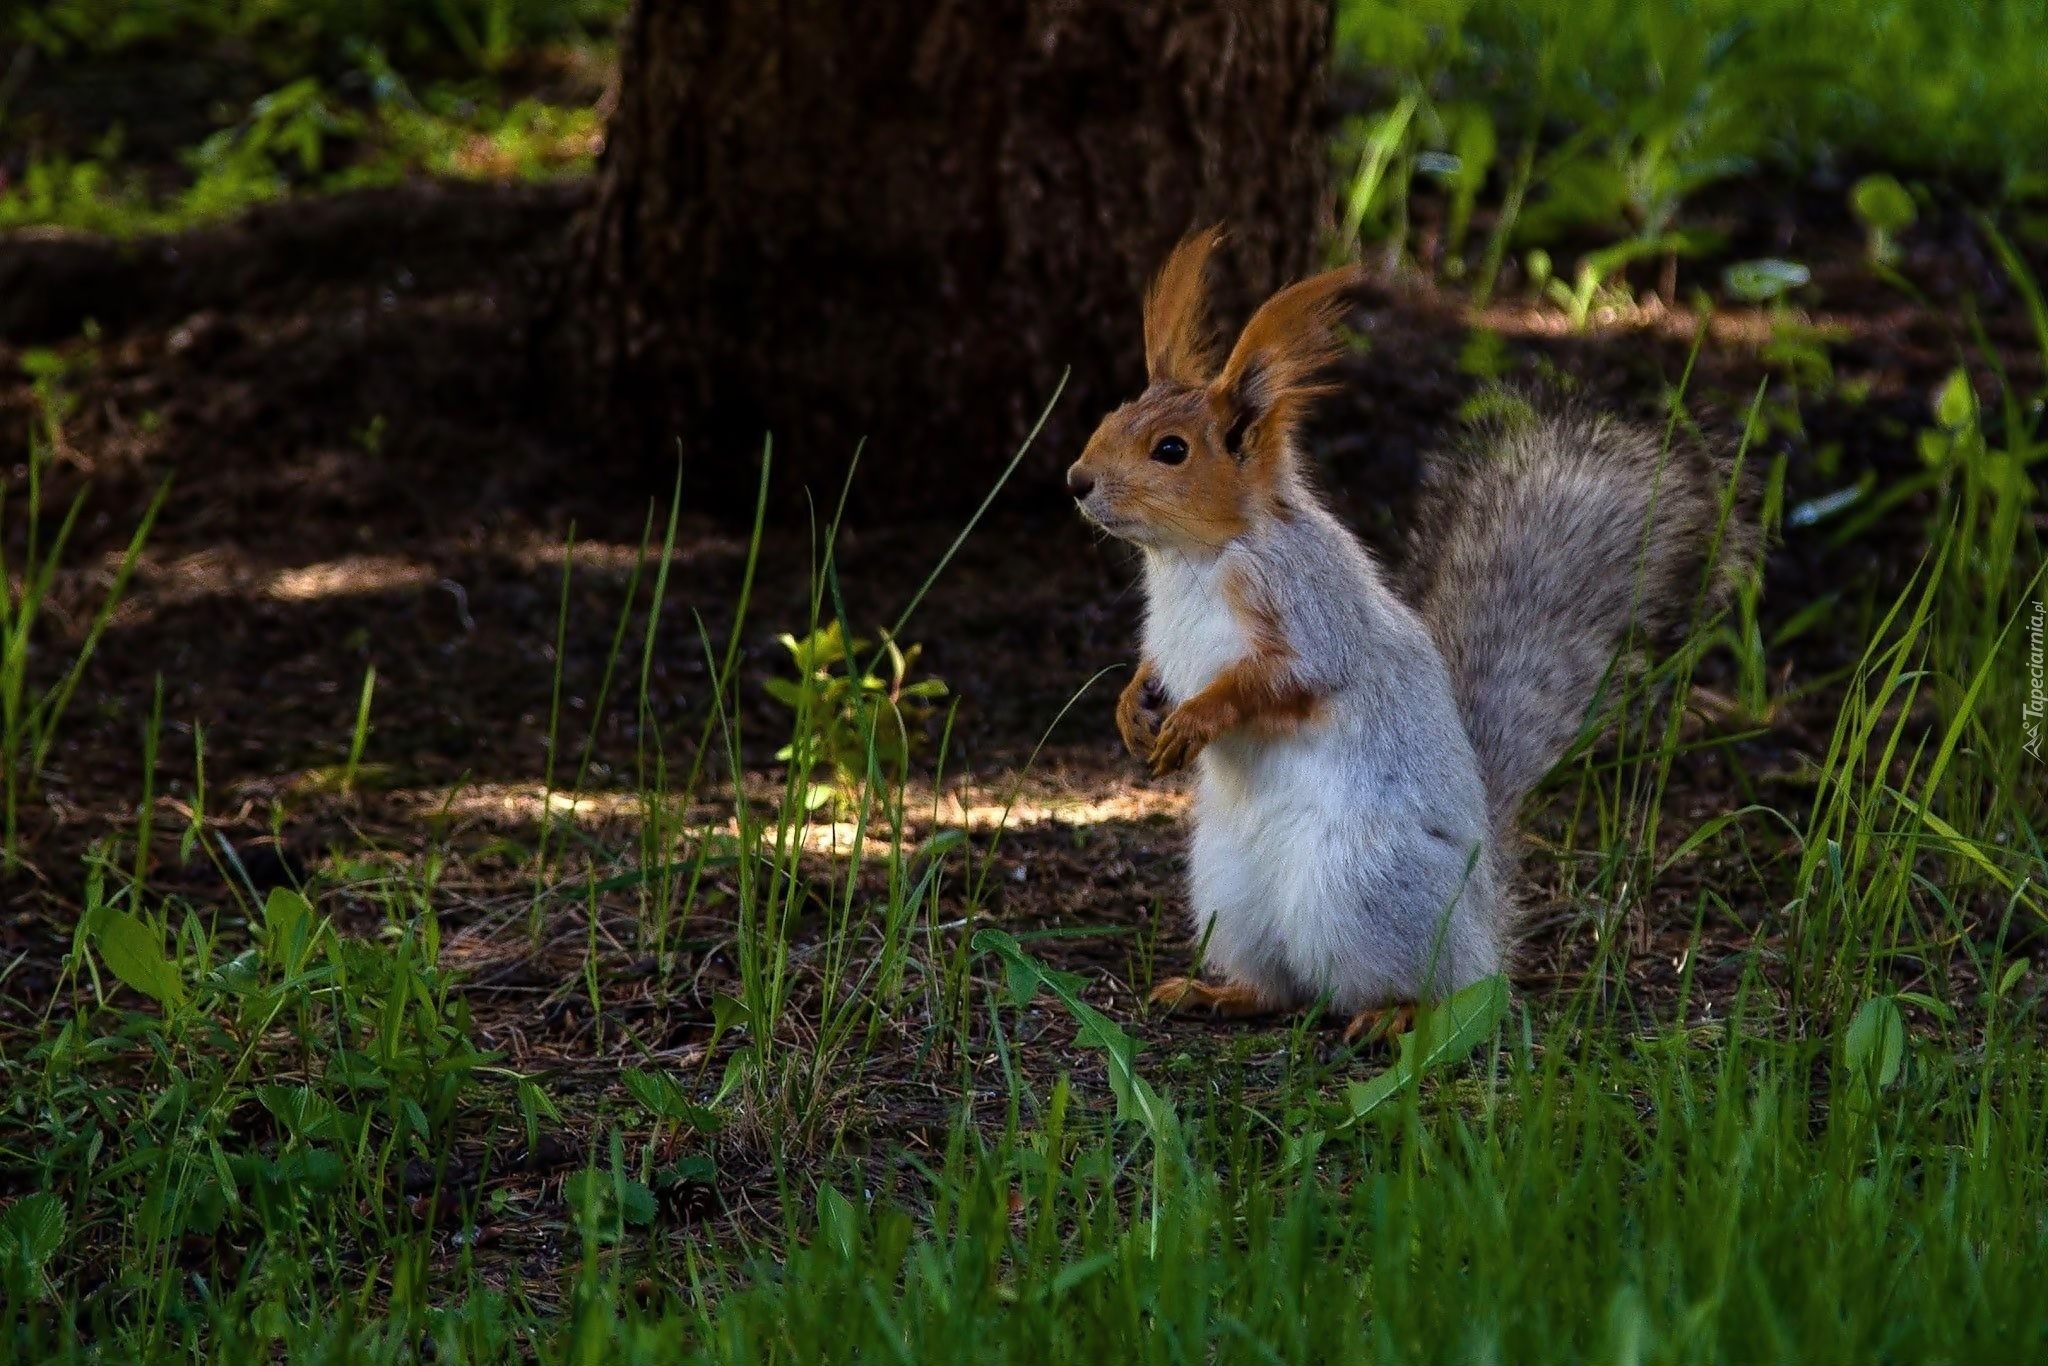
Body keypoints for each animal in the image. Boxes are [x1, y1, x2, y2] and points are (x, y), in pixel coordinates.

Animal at [1064, 232, 1753, 1048]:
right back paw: (1219, 993)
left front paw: (1197, 718)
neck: (1195, 560)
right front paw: (1132, 710)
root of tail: (1483, 911)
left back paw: (1393, 1014)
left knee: (1434, 987)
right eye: (1113, 416)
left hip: (1365, 886)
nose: (1077, 480)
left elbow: (1282, 681)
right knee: (1283, 986)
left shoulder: (1309, 611)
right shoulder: (1169, 634)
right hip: (1230, 893)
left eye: (1171, 450)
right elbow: (1152, 668)